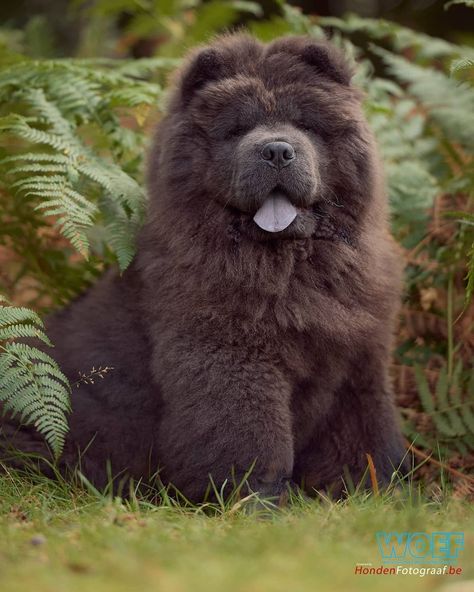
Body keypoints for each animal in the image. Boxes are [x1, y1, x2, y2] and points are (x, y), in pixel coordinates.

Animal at [1, 34, 406, 502]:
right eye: (237, 130)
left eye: (304, 125)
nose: (277, 150)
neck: (288, 268)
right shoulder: (229, 356)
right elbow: (249, 438)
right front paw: (254, 502)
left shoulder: (358, 359)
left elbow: (366, 434)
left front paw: (377, 493)